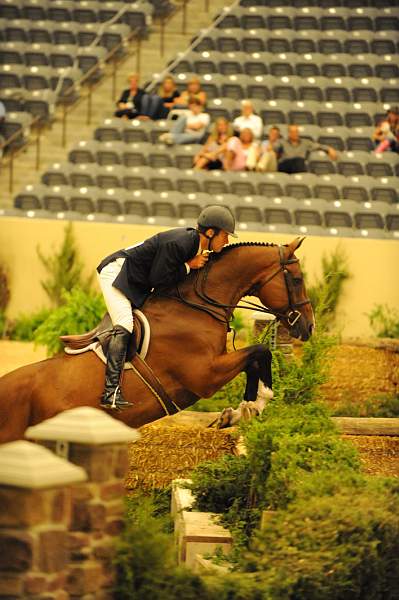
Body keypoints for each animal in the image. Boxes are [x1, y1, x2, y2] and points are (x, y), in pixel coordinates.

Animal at [0, 237, 314, 442]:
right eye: (297, 279)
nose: (309, 327)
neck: (195, 306)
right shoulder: (205, 376)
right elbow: (260, 352)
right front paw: (255, 405)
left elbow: (257, 358)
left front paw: (238, 413)